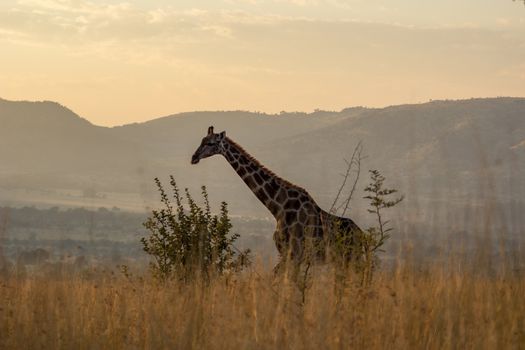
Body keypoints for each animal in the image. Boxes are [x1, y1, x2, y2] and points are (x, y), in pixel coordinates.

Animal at [190, 126, 362, 270]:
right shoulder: (286, 254)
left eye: (211, 143)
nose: (194, 157)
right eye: (201, 140)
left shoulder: (295, 254)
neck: (277, 207)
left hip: (349, 259)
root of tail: (363, 236)